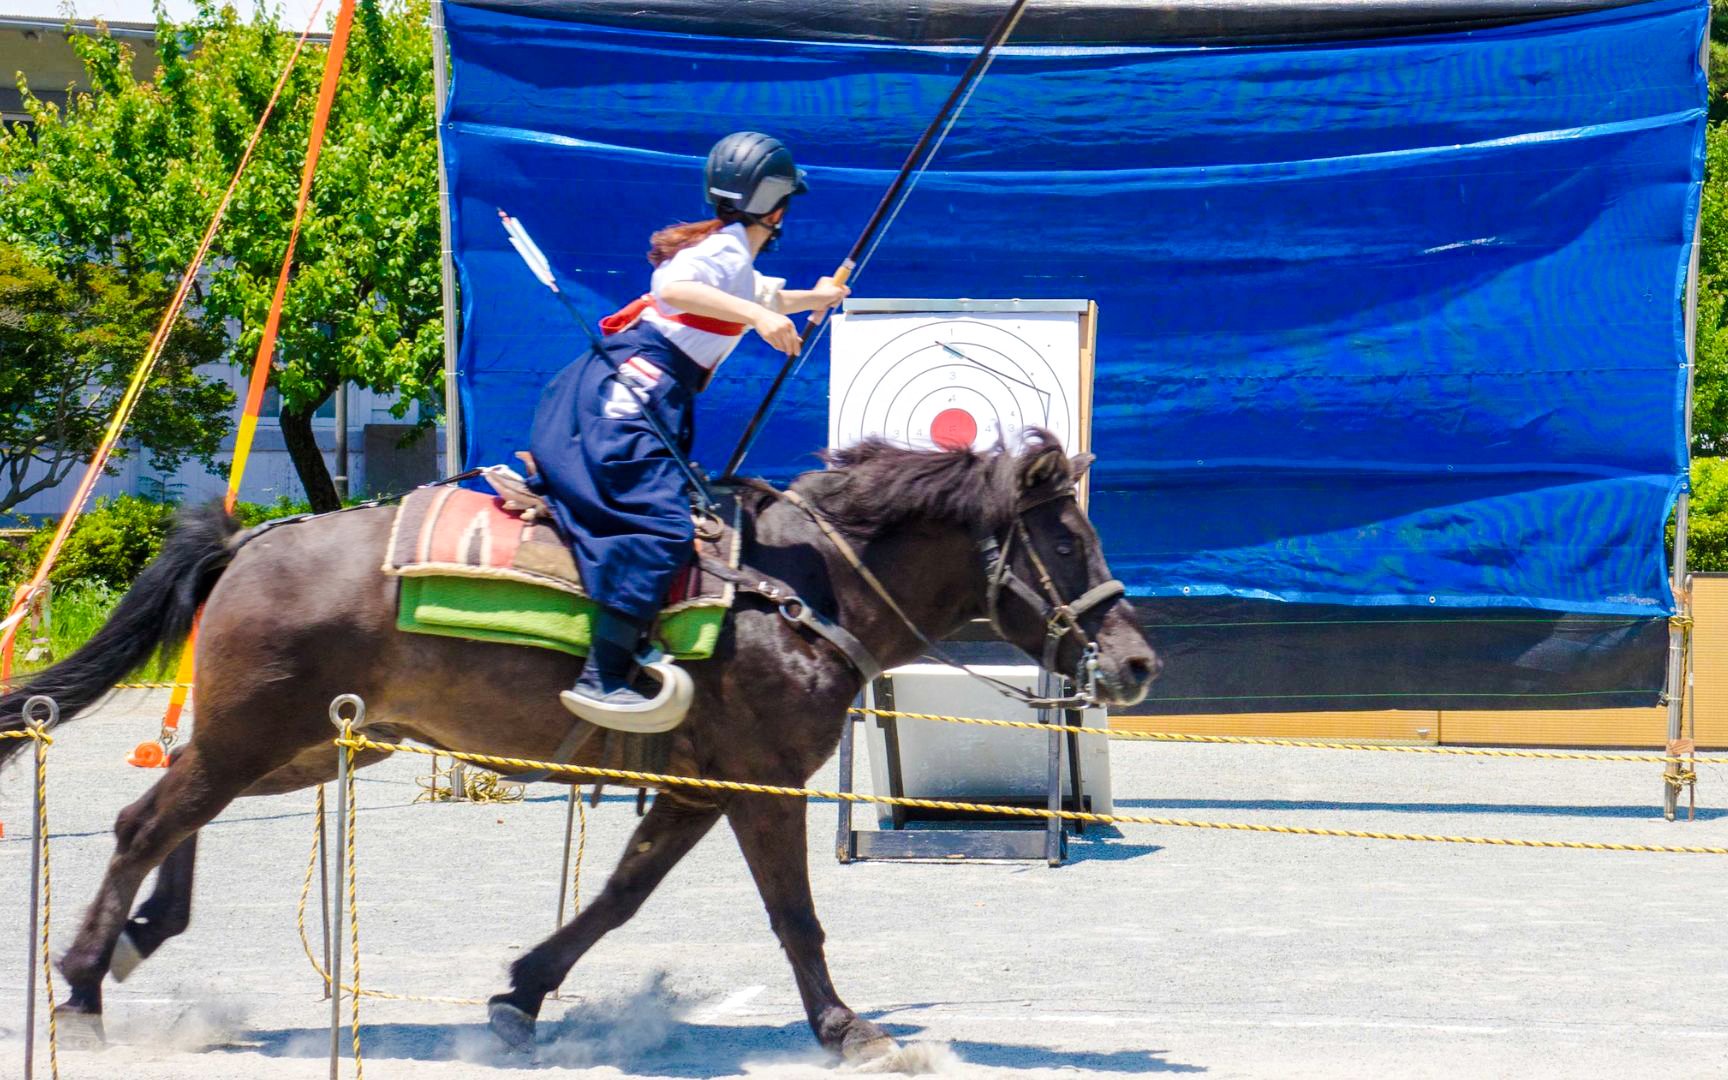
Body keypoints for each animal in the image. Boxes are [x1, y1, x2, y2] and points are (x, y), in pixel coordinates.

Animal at [0, 430, 1158, 1063]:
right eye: (1066, 540)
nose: (1139, 662)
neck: (796, 591)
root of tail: (251, 538)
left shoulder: (697, 789)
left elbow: (617, 899)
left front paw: (519, 993)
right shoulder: (763, 784)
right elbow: (796, 919)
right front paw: (847, 1029)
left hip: (308, 745)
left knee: (170, 816)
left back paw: (143, 936)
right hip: (265, 732)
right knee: (146, 818)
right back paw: (84, 985)